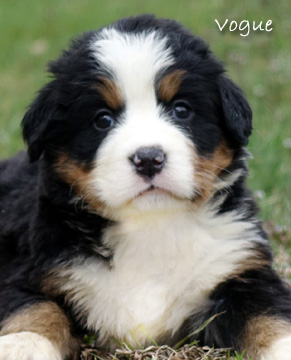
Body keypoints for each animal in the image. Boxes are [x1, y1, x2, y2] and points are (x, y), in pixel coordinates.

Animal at [0, 13, 291, 360]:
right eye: (102, 119)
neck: (151, 226)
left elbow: (269, 317)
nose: (149, 159)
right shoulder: (31, 271)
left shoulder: (241, 271)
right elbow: (36, 308)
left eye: (181, 109)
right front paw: (22, 346)